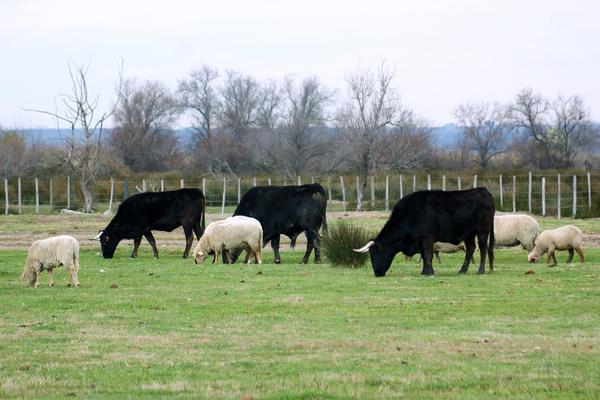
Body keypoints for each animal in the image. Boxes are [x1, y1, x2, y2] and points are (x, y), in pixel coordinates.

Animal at [354, 188, 494, 276]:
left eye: (374, 255)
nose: (377, 273)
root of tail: (483, 190)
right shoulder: (420, 241)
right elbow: (423, 256)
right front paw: (425, 271)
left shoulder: (427, 238)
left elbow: (427, 255)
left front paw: (428, 273)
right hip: (469, 233)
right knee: (470, 248)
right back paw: (462, 270)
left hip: (482, 230)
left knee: (483, 248)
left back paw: (481, 271)